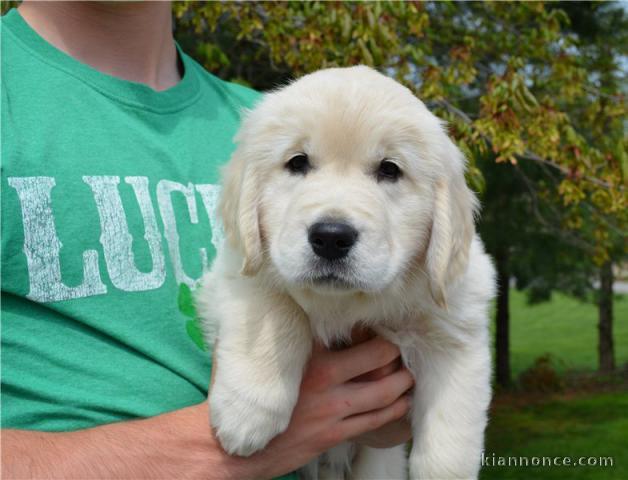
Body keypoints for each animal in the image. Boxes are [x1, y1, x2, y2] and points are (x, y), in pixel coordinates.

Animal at [196, 64, 496, 480]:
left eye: (389, 169)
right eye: (297, 162)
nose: (331, 237)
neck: (345, 303)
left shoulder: (456, 329)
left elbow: (450, 439)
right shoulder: (233, 270)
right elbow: (276, 306)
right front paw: (248, 411)